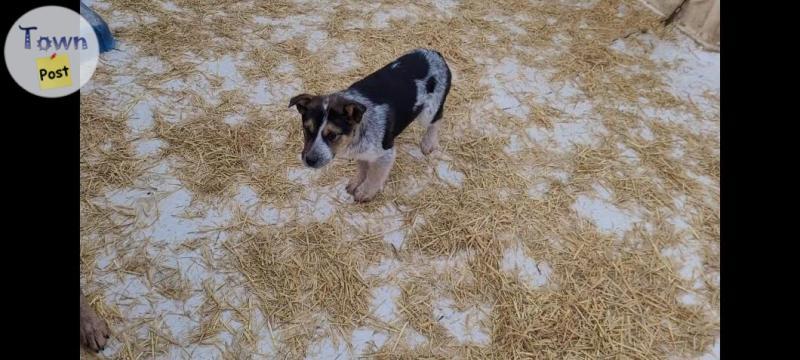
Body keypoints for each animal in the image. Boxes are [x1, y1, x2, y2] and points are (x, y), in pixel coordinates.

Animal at [290, 47, 454, 202]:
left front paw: (365, 192)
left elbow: (375, 175)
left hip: (428, 112)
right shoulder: (362, 153)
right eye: (307, 129)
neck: (358, 131)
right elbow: (363, 168)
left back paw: (428, 143)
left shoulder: (386, 154)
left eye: (333, 135)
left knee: (437, 120)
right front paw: (357, 183)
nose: (310, 161)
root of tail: (436, 53)